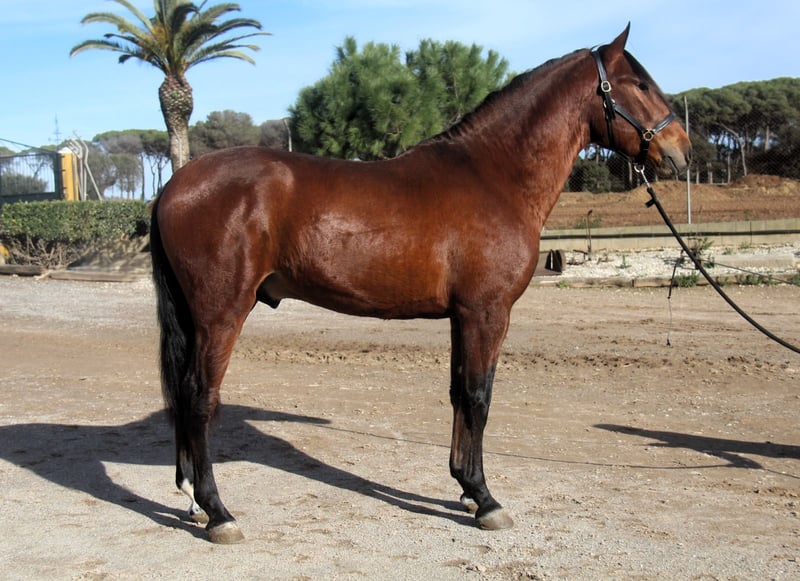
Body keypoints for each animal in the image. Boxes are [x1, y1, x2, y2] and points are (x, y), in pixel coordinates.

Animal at [150, 25, 691, 544]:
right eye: (639, 84)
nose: (682, 151)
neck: (493, 175)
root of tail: (175, 185)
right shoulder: (487, 312)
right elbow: (478, 396)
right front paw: (486, 500)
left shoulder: (462, 315)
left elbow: (458, 392)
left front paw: (466, 489)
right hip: (221, 314)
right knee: (198, 397)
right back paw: (218, 512)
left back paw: (192, 498)